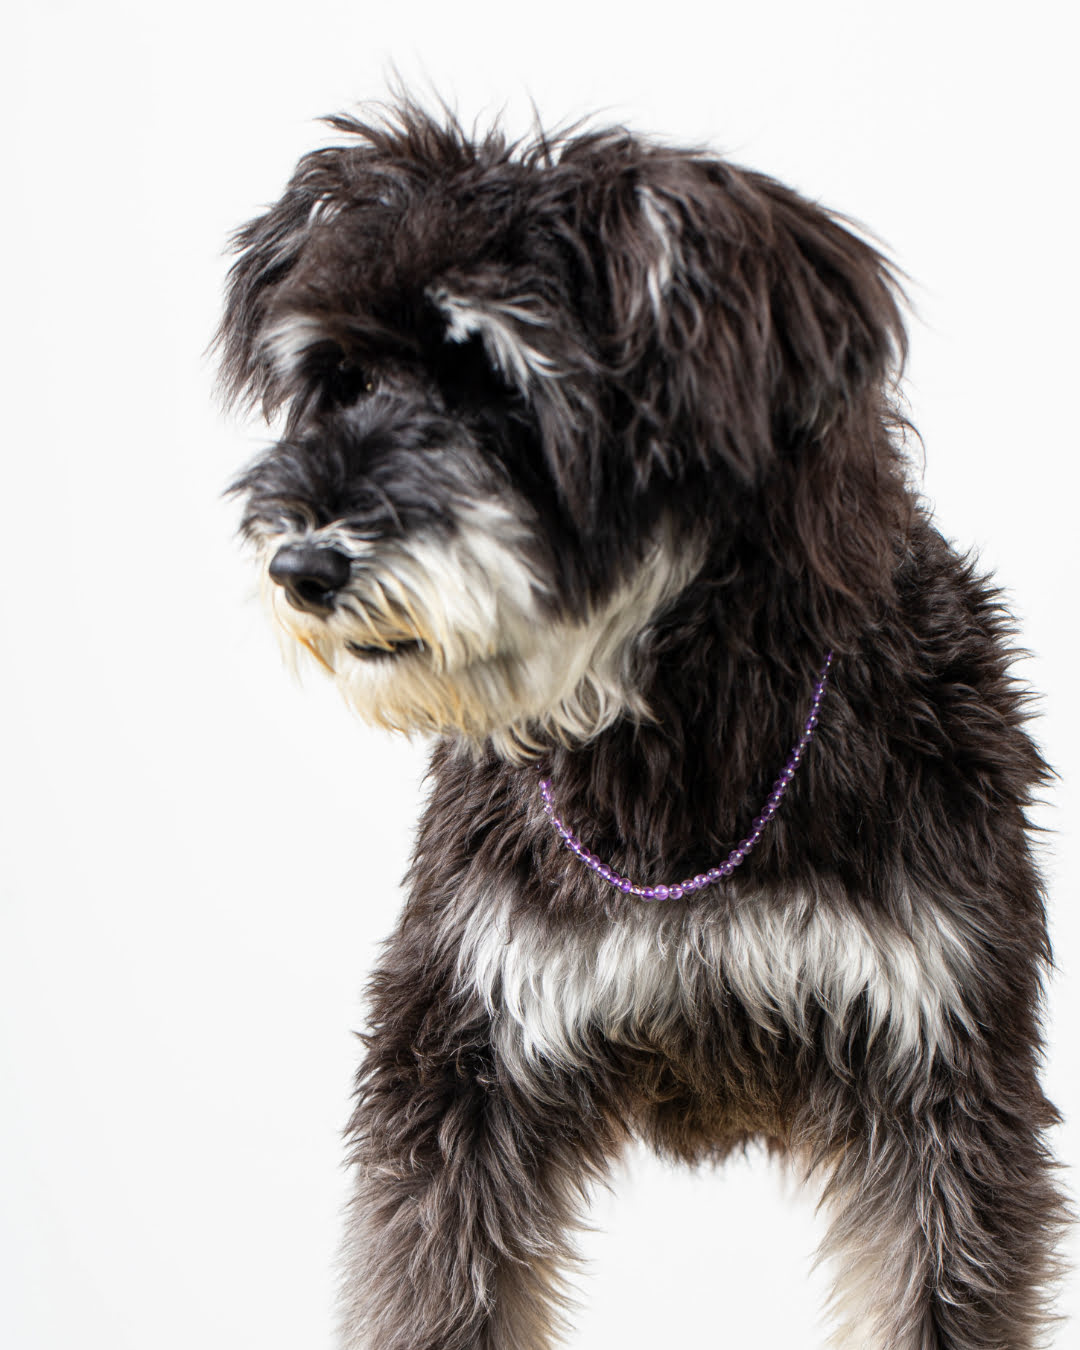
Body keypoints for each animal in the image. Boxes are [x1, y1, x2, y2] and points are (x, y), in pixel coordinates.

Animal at [217, 105, 1063, 1350]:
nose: (302, 567)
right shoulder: (459, 1067)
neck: (677, 756)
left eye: (498, 385)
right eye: (345, 378)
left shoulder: (944, 1079)